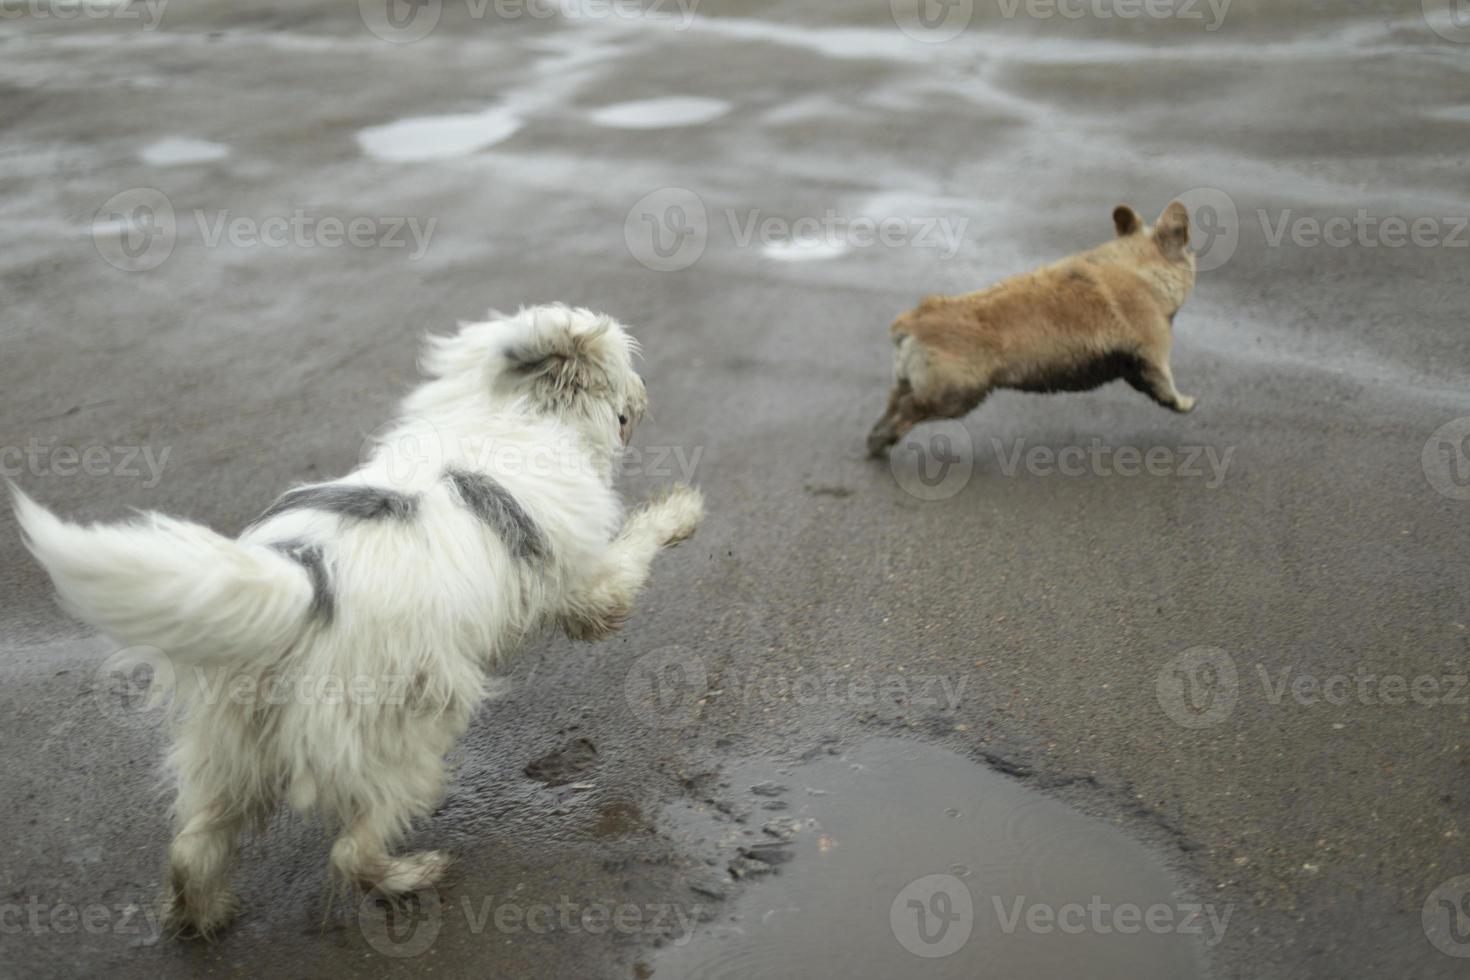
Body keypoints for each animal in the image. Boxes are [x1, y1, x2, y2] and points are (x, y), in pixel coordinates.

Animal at [10, 304, 699, 934]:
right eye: (627, 365)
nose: (645, 391)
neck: (510, 412)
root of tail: (304, 583)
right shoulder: (591, 591)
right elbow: (637, 548)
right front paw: (683, 511)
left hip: (233, 745)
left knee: (194, 845)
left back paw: (204, 915)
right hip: (405, 735)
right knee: (353, 850)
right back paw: (412, 874)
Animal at [870, 202, 1193, 461]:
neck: (1138, 268)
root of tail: (911, 323)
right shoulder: (1153, 352)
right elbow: (1165, 384)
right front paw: (1184, 402)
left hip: (909, 381)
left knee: (893, 403)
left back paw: (876, 438)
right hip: (955, 394)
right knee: (910, 409)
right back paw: (884, 439)